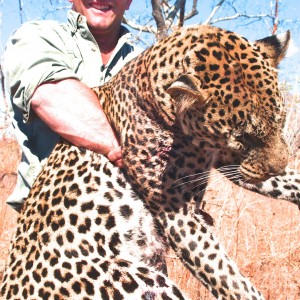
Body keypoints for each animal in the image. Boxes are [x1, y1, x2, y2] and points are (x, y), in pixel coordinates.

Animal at [1, 24, 298, 298]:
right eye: (243, 136)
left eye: (281, 120)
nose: (278, 166)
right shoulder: (178, 212)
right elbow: (226, 277)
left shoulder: (231, 161)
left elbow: (284, 180)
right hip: (139, 278)